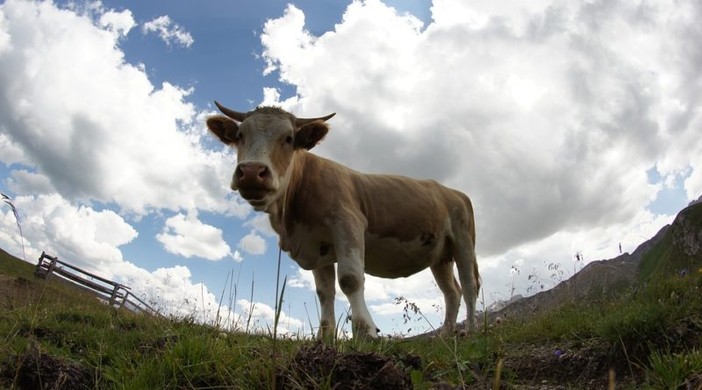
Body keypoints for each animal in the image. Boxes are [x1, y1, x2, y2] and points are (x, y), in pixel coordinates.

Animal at [206, 102, 482, 340]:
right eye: (240, 135)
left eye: (289, 138)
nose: (252, 172)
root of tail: (452, 191)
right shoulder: (317, 247)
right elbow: (324, 293)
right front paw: (325, 337)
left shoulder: (348, 223)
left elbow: (350, 280)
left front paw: (366, 331)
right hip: (440, 256)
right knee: (451, 292)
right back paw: (445, 335)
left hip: (463, 241)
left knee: (469, 285)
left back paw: (470, 331)